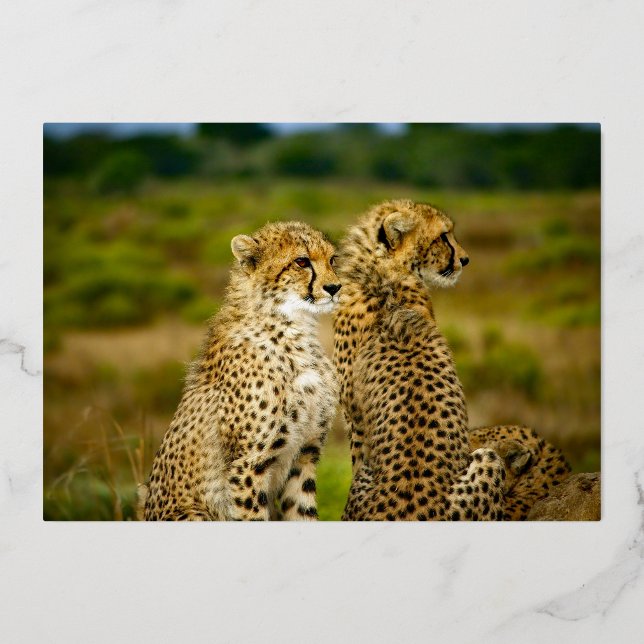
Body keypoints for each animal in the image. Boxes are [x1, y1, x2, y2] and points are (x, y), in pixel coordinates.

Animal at [139, 221, 340, 520]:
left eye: (332, 259)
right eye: (302, 262)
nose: (335, 287)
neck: (294, 328)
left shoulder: (305, 454)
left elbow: (303, 513)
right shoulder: (247, 465)